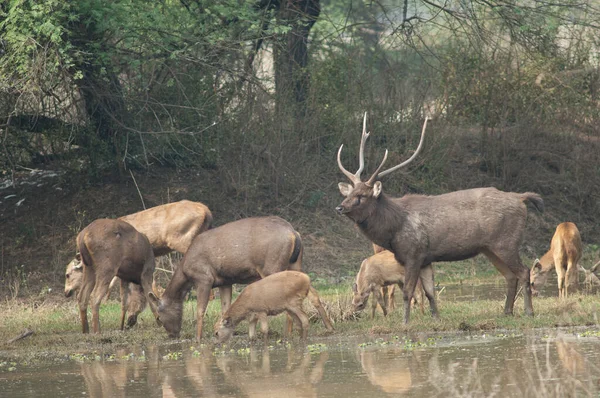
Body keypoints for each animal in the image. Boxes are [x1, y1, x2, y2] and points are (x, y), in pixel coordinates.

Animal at [145, 216, 332, 340]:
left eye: (158, 318)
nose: (173, 335)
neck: (185, 271)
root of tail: (294, 234)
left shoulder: (204, 278)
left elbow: (200, 310)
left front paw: (198, 339)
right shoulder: (225, 281)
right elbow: (225, 307)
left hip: (271, 264)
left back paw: (289, 333)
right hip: (295, 263)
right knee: (312, 292)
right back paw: (329, 327)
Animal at [338, 112, 544, 324]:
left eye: (361, 196)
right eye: (348, 193)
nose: (340, 207)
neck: (393, 231)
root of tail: (520, 198)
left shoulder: (414, 253)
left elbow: (408, 292)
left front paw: (405, 322)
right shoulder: (426, 258)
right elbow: (430, 292)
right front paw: (436, 318)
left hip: (507, 242)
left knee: (524, 271)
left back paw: (528, 311)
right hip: (489, 248)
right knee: (510, 276)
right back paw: (507, 311)